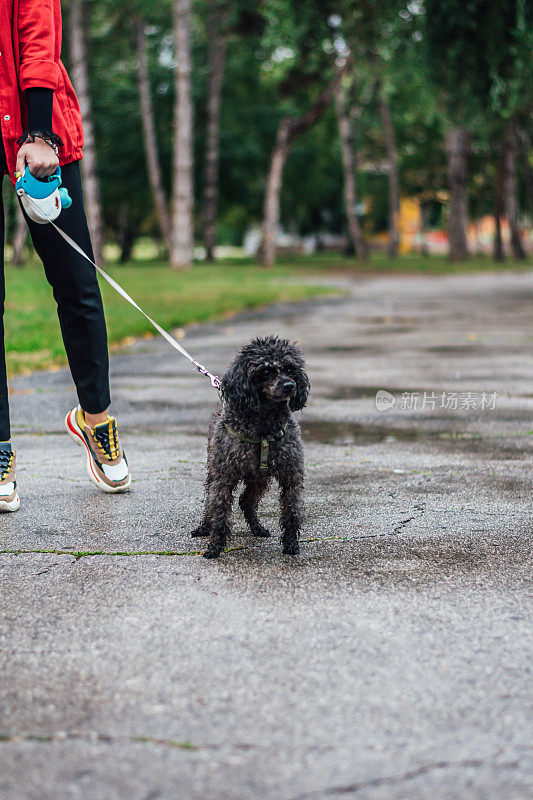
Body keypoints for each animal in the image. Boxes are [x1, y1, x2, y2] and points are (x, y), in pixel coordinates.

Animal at [191, 334, 310, 560]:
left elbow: (291, 511)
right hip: (215, 470)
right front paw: (215, 546)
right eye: (266, 371)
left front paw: (291, 544)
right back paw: (204, 527)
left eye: (290, 368)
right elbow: (219, 511)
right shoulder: (224, 477)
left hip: (259, 479)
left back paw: (257, 528)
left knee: (246, 502)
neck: (264, 424)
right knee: (210, 502)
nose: (289, 385)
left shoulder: (291, 475)